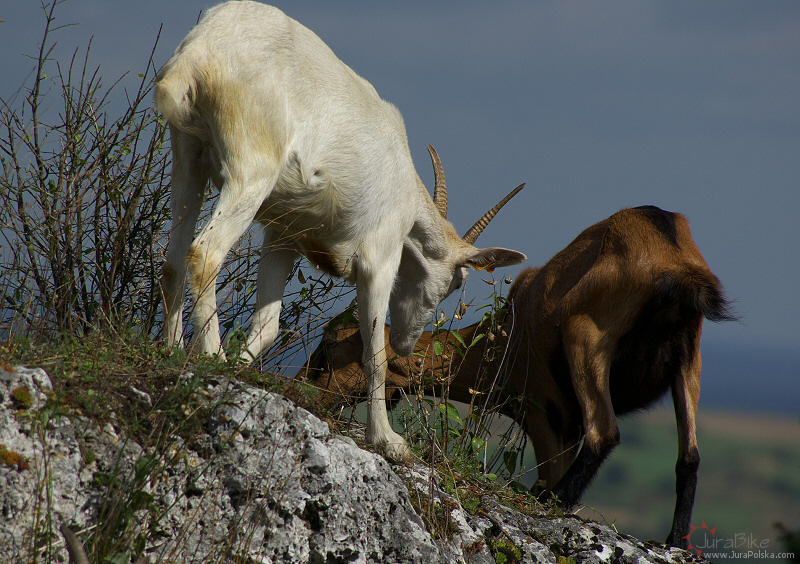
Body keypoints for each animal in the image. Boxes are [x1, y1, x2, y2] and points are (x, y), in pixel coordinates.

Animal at [156, 1, 532, 462]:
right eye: (456, 281)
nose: (408, 343)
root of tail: (200, 51)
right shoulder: (379, 260)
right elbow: (375, 355)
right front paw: (388, 440)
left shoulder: (283, 236)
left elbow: (268, 326)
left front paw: (239, 369)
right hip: (251, 169)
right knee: (204, 253)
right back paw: (209, 355)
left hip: (188, 156)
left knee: (173, 259)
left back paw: (173, 351)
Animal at [302, 206, 736, 548]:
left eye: (329, 350)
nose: (306, 390)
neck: (502, 333)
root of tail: (673, 255)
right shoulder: (564, 425)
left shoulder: (544, 410)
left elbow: (555, 466)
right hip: (688, 357)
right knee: (689, 456)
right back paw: (674, 539)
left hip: (585, 337)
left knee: (605, 432)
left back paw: (548, 502)